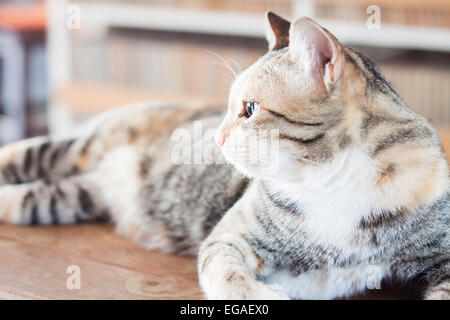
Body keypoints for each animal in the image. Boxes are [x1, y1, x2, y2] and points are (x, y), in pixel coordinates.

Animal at [0, 13, 450, 300]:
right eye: (232, 105)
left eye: (249, 109)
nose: (216, 136)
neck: (331, 180)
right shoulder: (231, 234)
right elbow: (225, 272)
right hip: (79, 147)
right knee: (21, 154)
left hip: (70, 197)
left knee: (31, 197)